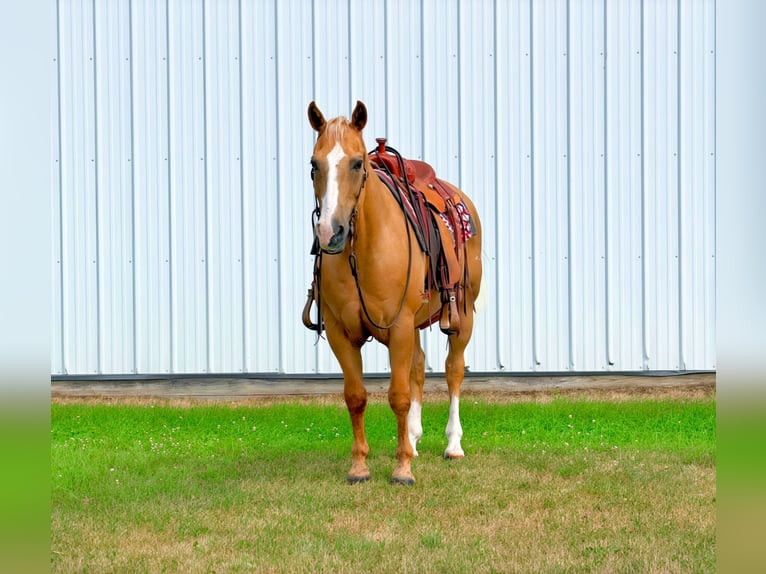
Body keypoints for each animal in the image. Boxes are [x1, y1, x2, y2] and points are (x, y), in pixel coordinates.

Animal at [304, 100, 482, 485]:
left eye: (358, 163)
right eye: (314, 164)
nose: (330, 233)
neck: (365, 248)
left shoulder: (399, 327)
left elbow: (399, 395)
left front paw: (402, 469)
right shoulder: (341, 333)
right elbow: (355, 396)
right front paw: (360, 466)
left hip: (463, 314)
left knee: (453, 370)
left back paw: (453, 445)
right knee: (418, 367)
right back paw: (413, 439)